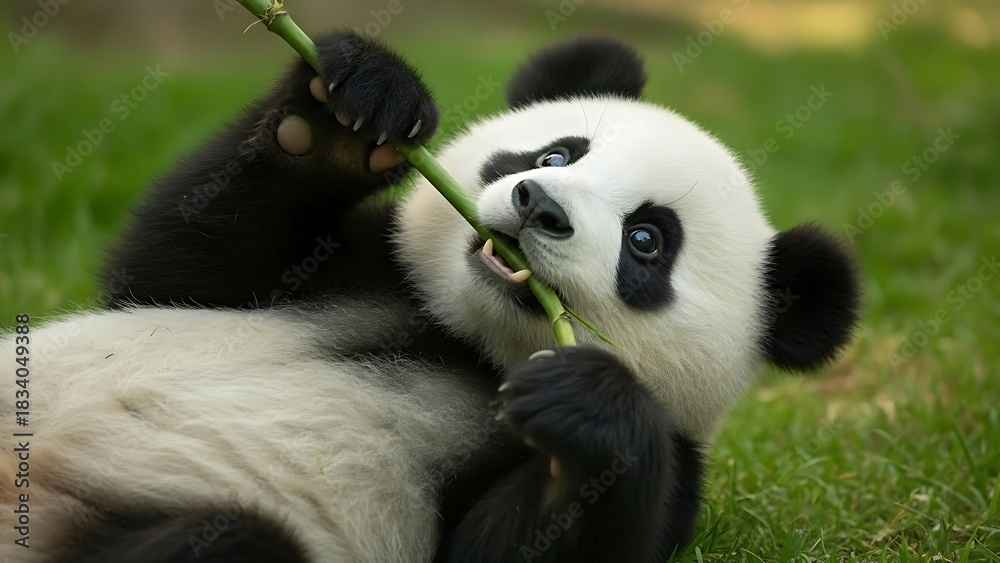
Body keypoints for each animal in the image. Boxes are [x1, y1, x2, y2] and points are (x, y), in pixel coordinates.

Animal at [0, 32, 859, 562]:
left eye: (647, 240)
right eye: (559, 153)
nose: (540, 205)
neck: (465, 342)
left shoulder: (674, 466)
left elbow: (506, 544)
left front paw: (586, 407)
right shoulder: (362, 269)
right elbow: (173, 271)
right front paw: (347, 113)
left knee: (224, 543)